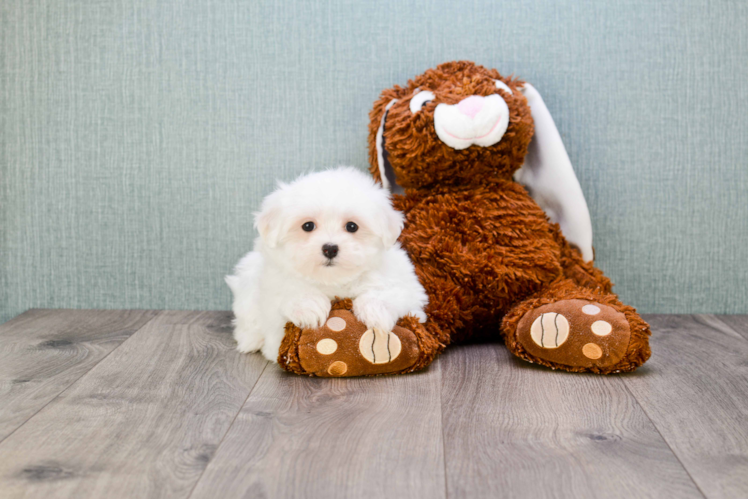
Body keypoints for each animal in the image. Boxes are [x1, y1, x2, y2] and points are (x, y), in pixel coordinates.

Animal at [225, 166, 426, 362]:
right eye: (308, 226)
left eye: (352, 226)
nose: (330, 248)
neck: (333, 280)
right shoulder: (272, 285)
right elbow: (290, 291)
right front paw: (309, 307)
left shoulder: (408, 286)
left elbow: (393, 291)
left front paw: (375, 311)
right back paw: (250, 340)